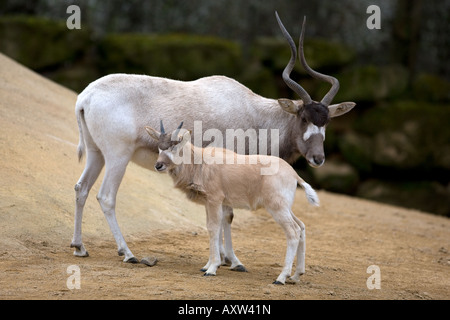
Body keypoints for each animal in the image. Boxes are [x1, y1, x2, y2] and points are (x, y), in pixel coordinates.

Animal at [71, 11, 356, 262]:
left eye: (327, 121)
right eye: (304, 118)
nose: (318, 158)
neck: (254, 114)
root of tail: (86, 96)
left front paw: (224, 258)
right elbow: (226, 215)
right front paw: (231, 259)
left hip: (96, 154)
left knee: (81, 188)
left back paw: (79, 247)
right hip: (118, 157)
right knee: (106, 197)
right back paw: (127, 253)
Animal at [146, 122, 318, 284]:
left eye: (175, 146)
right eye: (160, 147)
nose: (158, 165)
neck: (200, 162)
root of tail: (294, 174)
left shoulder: (215, 200)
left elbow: (214, 228)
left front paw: (212, 268)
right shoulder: (212, 203)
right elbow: (213, 227)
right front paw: (208, 265)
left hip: (277, 208)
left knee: (293, 231)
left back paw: (281, 278)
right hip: (285, 208)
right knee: (301, 226)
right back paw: (296, 275)